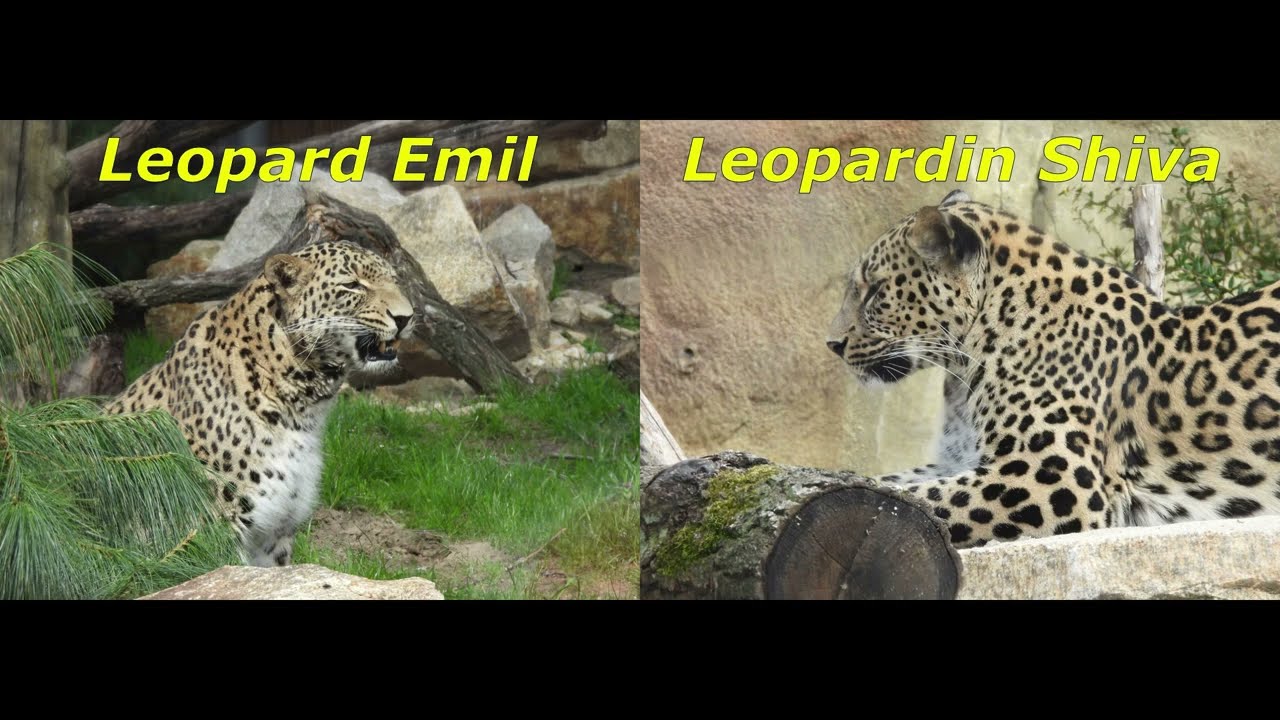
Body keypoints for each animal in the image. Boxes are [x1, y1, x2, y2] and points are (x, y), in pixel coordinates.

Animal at [105, 242, 414, 567]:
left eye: (394, 280)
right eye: (352, 285)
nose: (406, 317)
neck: (303, 409)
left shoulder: (275, 530)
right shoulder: (213, 525)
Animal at [827, 189, 1280, 548]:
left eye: (875, 290)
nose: (832, 344)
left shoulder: (1054, 476)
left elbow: (929, 498)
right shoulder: (957, 459)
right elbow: (889, 482)